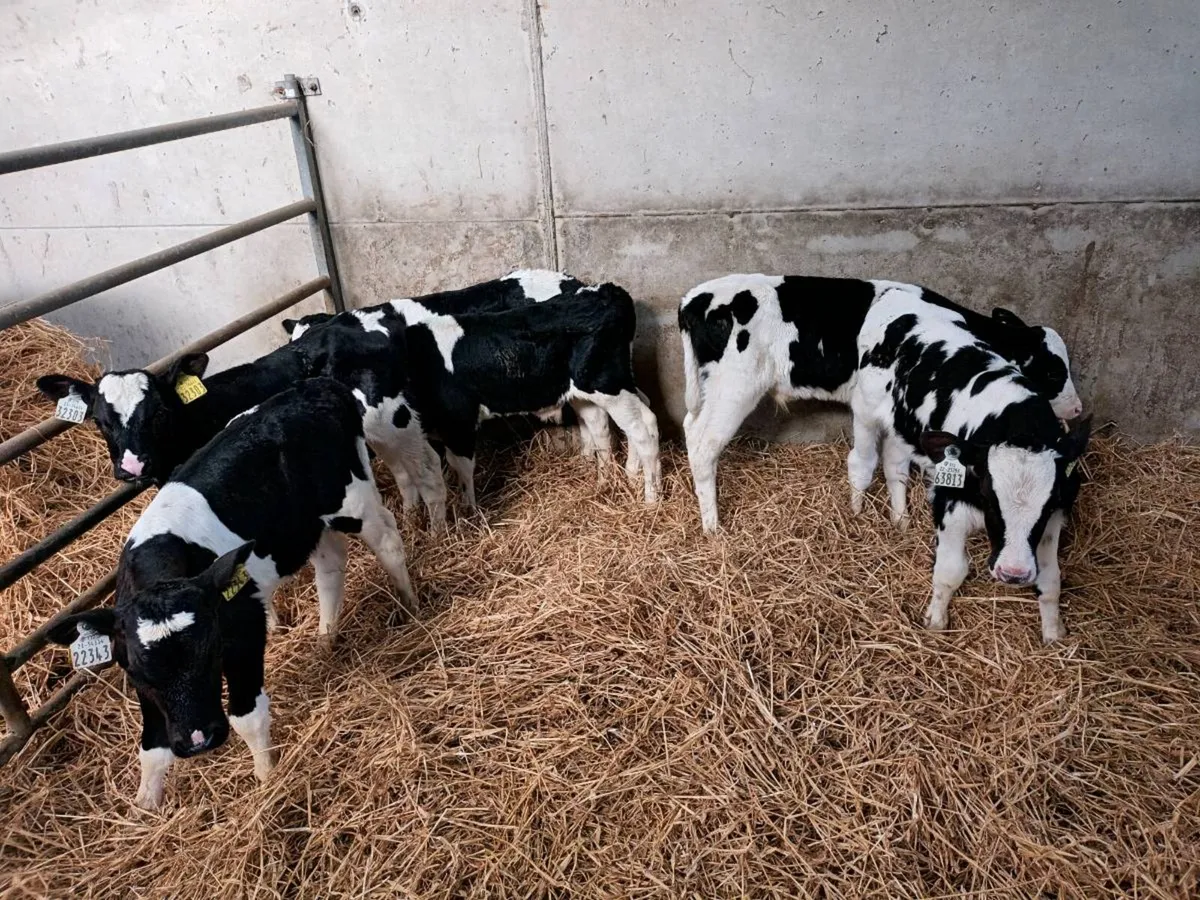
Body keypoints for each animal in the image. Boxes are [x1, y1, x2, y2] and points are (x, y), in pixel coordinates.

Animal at [46, 378, 417, 809]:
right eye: (140, 671)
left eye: (210, 652)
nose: (198, 740)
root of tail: (317, 386)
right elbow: (152, 748)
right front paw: (144, 806)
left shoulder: (244, 630)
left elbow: (247, 716)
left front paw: (267, 778)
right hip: (306, 526)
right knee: (330, 565)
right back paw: (326, 637)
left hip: (352, 502)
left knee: (388, 541)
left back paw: (412, 604)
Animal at [678, 274, 1082, 532]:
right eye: (1052, 371)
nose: (1077, 409)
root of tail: (695, 297)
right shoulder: (869, 404)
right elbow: (868, 461)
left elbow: (895, 465)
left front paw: (899, 520)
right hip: (735, 388)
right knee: (702, 444)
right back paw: (712, 526)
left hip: (712, 386)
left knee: (688, 425)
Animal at [850, 287, 1091, 643]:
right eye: (1052, 372)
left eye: (1046, 507)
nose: (1013, 573)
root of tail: (897, 293)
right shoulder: (949, 502)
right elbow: (951, 571)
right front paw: (936, 620)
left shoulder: (1052, 521)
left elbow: (1050, 580)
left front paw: (1053, 633)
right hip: (865, 411)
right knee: (862, 463)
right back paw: (856, 508)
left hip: (904, 427)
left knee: (895, 465)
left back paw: (900, 518)